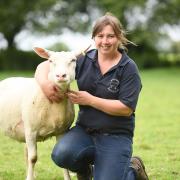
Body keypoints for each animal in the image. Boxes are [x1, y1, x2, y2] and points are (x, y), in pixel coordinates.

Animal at [0, 46, 88, 180]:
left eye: (73, 60)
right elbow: (33, 158)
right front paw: (29, 178)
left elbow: (62, 162)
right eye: (50, 61)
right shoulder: (30, 131)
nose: (61, 75)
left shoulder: (62, 131)